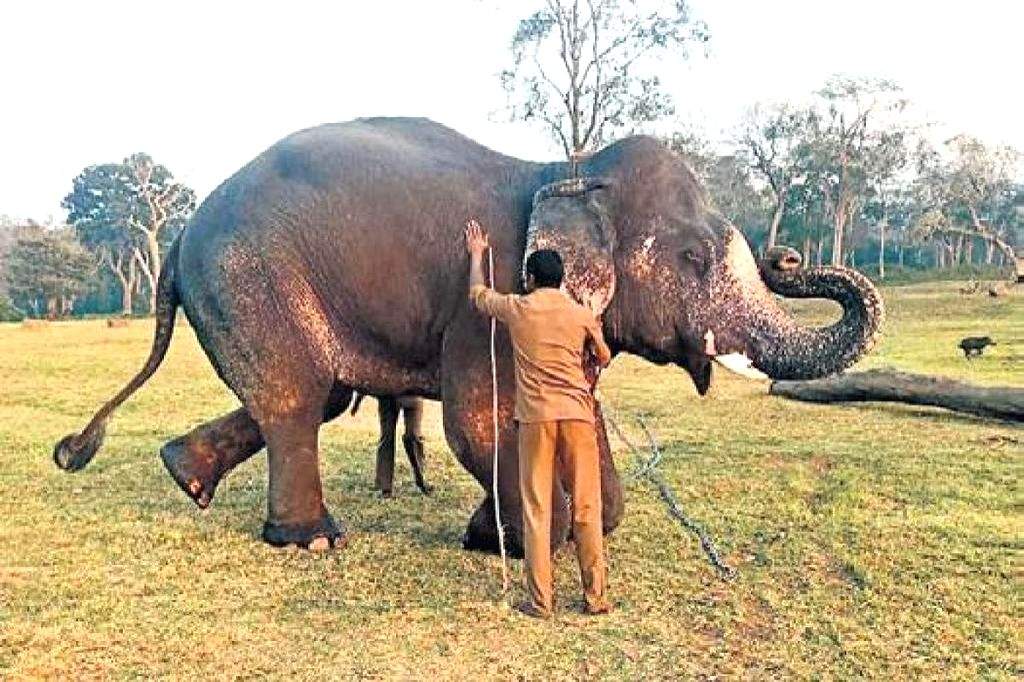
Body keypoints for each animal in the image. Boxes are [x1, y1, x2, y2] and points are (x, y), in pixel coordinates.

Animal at [54, 117, 883, 552]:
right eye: (696, 258)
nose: (788, 255)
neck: (568, 170)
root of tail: (178, 236)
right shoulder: (487, 305)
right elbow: (480, 420)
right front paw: (517, 540)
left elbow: (573, 412)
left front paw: (543, 530)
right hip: (248, 277)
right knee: (297, 399)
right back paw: (311, 540)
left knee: (313, 397)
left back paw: (185, 475)